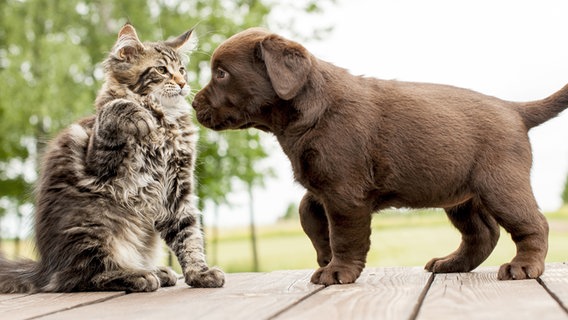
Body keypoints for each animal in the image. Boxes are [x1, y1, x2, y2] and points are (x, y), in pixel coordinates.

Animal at [0, 23, 225, 292]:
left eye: (182, 70)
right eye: (162, 70)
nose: (182, 83)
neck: (166, 121)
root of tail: (46, 268)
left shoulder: (178, 188)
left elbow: (189, 234)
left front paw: (199, 273)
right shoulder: (98, 162)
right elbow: (114, 108)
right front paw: (138, 114)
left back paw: (155, 271)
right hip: (93, 224)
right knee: (83, 276)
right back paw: (138, 275)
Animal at [192, 28, 568, 284]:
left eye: (221, 73)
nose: (193, 103)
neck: (311, 109)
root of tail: (514, 109)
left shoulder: (344, 192)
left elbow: (344, 235)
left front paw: (337, 271)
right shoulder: (323, 184)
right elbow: (306, 211)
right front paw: (324, 254)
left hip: (500, 185)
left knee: (533, 224)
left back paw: (523, 266)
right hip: (461, 195)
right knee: (482, 234)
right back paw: (451, 264)